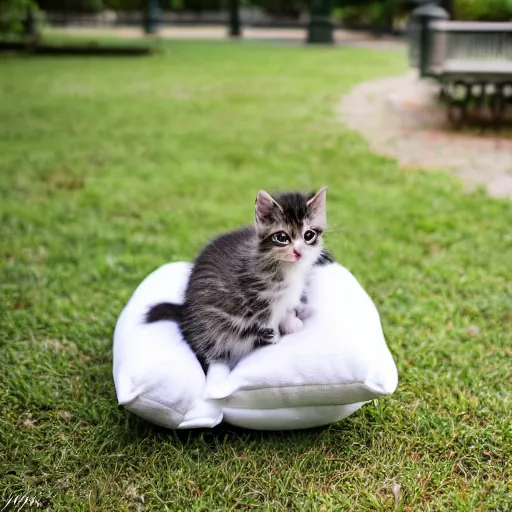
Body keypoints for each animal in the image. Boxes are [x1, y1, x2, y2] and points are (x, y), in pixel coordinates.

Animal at [146, 186, 330, 370]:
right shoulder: (259, 304)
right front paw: (276, 341)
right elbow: (269, 329)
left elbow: (288, 308)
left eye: (308, 235)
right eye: (282, 238)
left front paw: (292, 323)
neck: (287, 268)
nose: (298, 252)